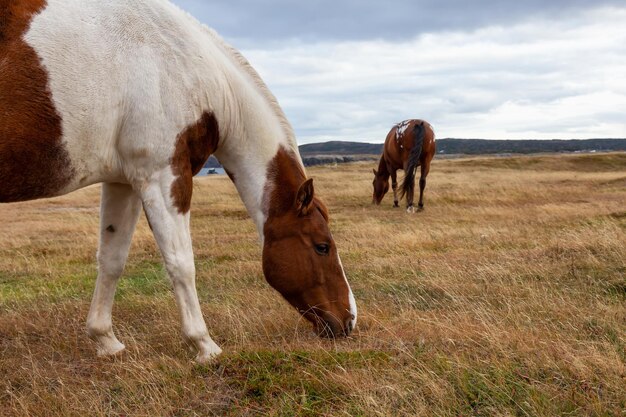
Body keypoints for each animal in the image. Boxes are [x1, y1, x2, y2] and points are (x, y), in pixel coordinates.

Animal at [0, 0, 354, 360]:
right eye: (322, 246)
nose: (348, 319)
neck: (179, 61)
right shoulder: (163, 176)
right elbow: (182, 264)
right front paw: (204, 345)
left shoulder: (124, 182)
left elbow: (112, 259)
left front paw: (105, 340)